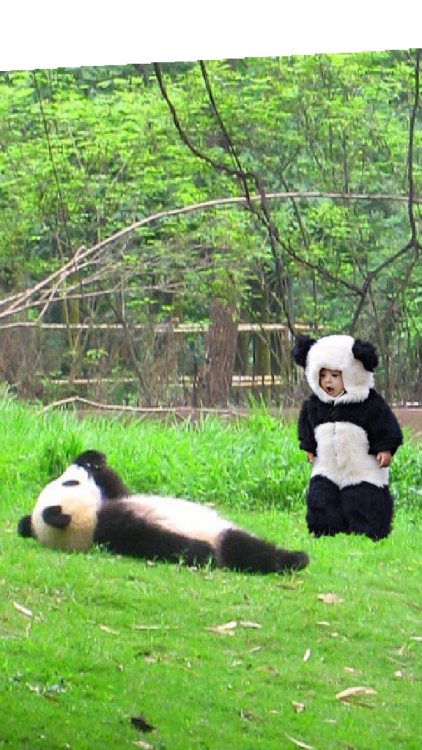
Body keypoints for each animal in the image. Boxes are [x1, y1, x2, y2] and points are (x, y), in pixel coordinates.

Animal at [18, 452, 308, 576]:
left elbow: (117, 487)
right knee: (248, 550)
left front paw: (92, 459)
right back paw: (294, 559)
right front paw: (199, 552)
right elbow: (155, 539)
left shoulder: (112, 504)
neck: (89, 524)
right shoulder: (111, 526)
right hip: (224, 537)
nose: (74, 471)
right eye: (70, 483)